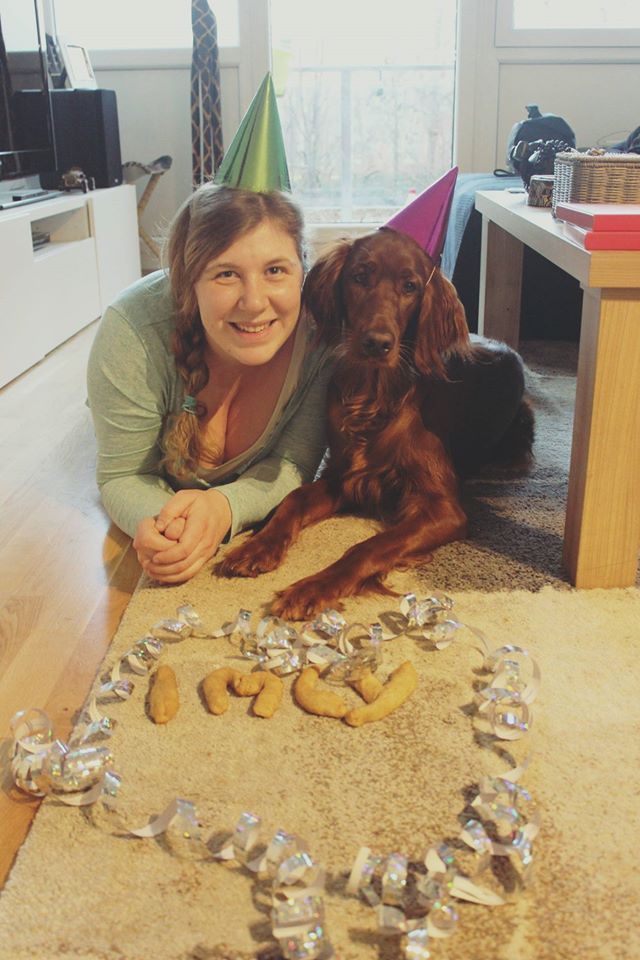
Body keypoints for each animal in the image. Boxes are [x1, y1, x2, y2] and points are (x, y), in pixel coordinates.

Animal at [218, 229, 532, 620]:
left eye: (410, 286)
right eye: (359, 277)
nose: (377, 343)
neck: (374, 395)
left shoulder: (443, 507)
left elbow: (369, 546)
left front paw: (312, 588)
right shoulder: (344, 475)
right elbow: (293, 499)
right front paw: (257, 547)